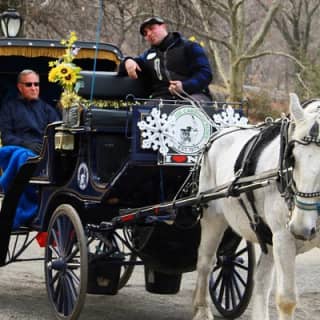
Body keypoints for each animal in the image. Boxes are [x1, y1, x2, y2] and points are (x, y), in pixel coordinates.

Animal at [192, 93, 320, 320]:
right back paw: (202, 310)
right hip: (213, 217)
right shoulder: (284, 238)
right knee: (205, 262)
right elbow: (286, 300)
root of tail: (217, 134)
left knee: (261, 279)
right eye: (293, 158)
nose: (300, 229)